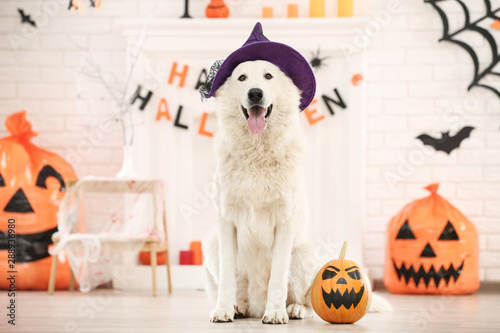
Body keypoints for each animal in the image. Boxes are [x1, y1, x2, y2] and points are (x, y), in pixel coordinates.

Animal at [202, 59, 312, 322]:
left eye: (268, 76)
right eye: (241, 78)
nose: (255, 93)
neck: (257, 152)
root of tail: (256, 306)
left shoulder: (284, 221)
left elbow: (278, 277)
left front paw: (275, 313)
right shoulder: (226, 221)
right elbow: (227, 276)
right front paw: (222, 309)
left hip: (304, 255)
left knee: (308, 301)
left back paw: (293, 309)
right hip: (211, 244)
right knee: (238, 291)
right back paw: (237, 307)